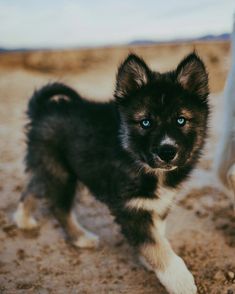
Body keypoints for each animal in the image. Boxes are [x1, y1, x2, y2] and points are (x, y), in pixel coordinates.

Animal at [13, 52, 209, 294]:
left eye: (181, 120)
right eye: (145, 122)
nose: (167, 152)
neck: (136, 160)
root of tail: (43, 110)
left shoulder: (157, 203)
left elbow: (156, 233)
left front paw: (148, 261)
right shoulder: (130, 208)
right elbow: (154, 243)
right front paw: (180, 280)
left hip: (49, 167)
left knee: (34, 185)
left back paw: (23, 219)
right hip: (60, 172)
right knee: (59, 207)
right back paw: (81, 237)